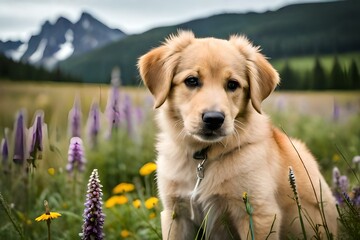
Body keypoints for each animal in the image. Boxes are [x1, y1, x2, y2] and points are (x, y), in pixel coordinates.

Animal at [138, 31, 338, 239]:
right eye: (191, 80)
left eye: (232, 84)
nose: (214, 119)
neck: (203, 157)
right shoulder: (175, 214)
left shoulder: (258, 214)